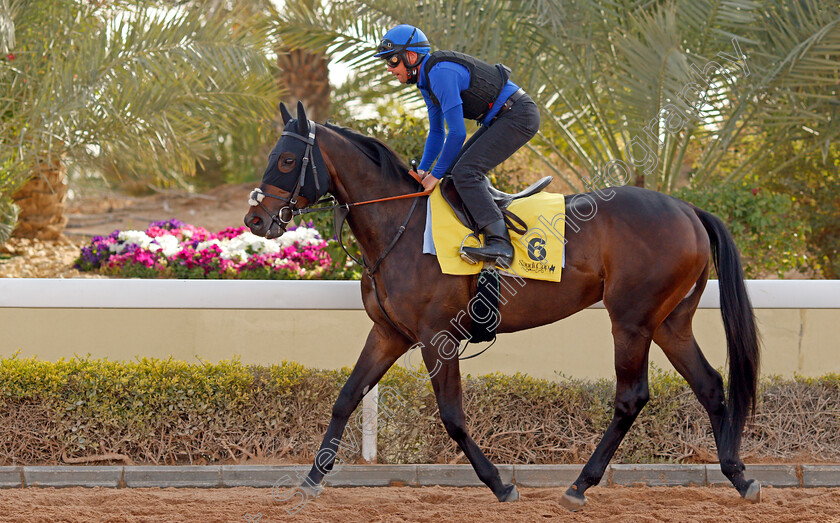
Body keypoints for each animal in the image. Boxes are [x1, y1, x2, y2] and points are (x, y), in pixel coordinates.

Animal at [243, 103, 760, 512]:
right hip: (670, 322)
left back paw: (579, 486)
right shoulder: (390, 333)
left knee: (631, 397)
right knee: (710, 384)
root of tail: (689, 210)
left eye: (286, 159)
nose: (256, 218)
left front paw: (499, 485)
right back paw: (738, 474)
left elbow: (452, 416)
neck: (400, 225)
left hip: (631, 322)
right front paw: (310, 481)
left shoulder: (436, 336)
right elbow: (347, 397)